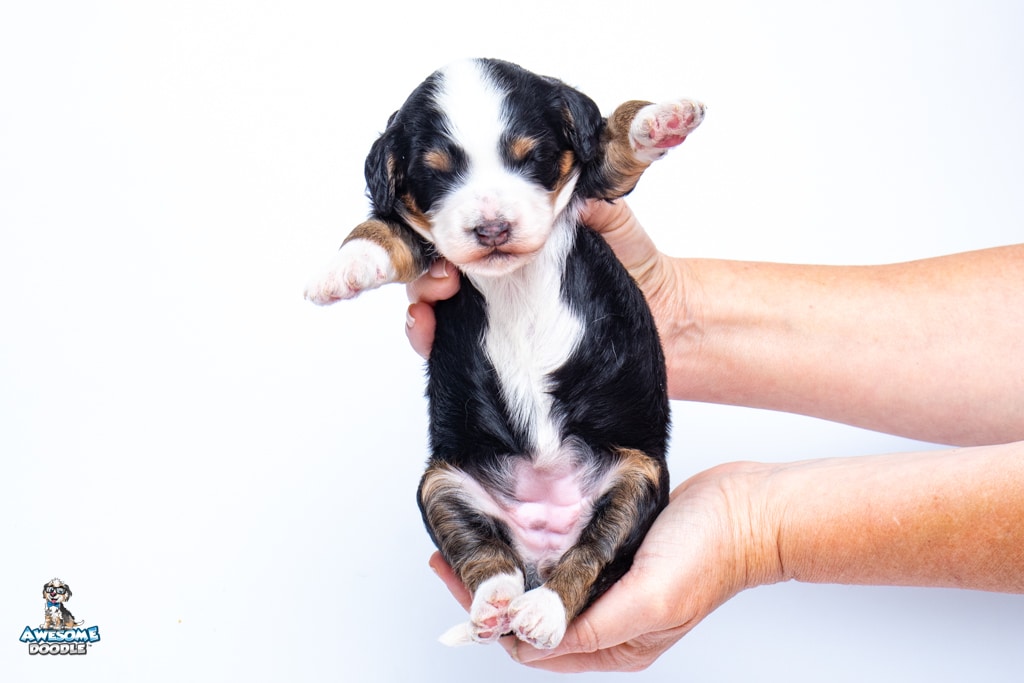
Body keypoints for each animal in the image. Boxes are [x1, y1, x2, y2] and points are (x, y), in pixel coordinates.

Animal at [305, 58, 703, 649]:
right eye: (437, 173)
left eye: (529, 157)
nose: (492, 228)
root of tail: (544, 550)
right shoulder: (432, 242)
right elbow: (385, 225)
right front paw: (345, 266)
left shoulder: (593, 186)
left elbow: (613, 140)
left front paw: (662, 118)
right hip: (443, 484)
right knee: (487, 555)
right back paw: (494, 607)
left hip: (638, 479)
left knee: (590, 556)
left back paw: (542, 612)